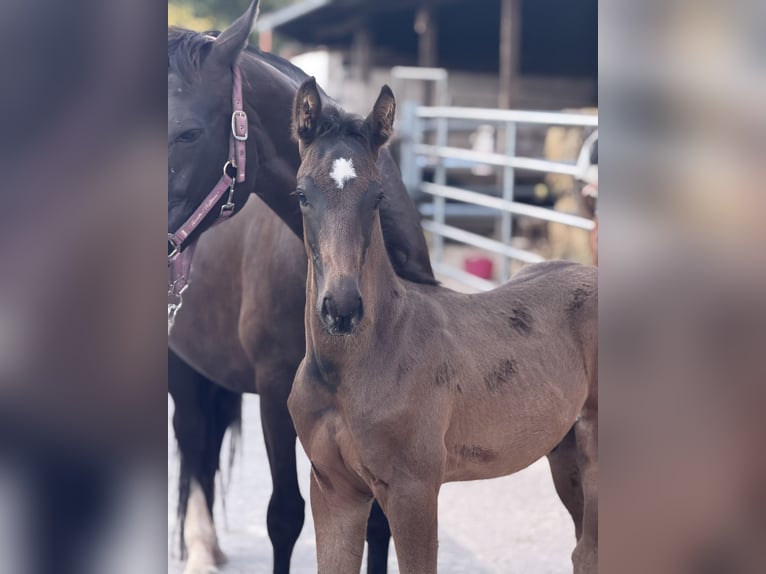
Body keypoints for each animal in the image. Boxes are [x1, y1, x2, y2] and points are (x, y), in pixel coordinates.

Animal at [167, 1, 437, 572]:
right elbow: (285, 515)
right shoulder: (276, 395)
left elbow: (378, 523)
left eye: (188, 134)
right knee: (193, 438)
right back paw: (200, 549)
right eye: (300, 195)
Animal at [285, 78, 598, 573]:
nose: (342, 307)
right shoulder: (333, 492)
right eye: (301, 194)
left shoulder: (414, 492)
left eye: (377, 197)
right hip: (565, 455)